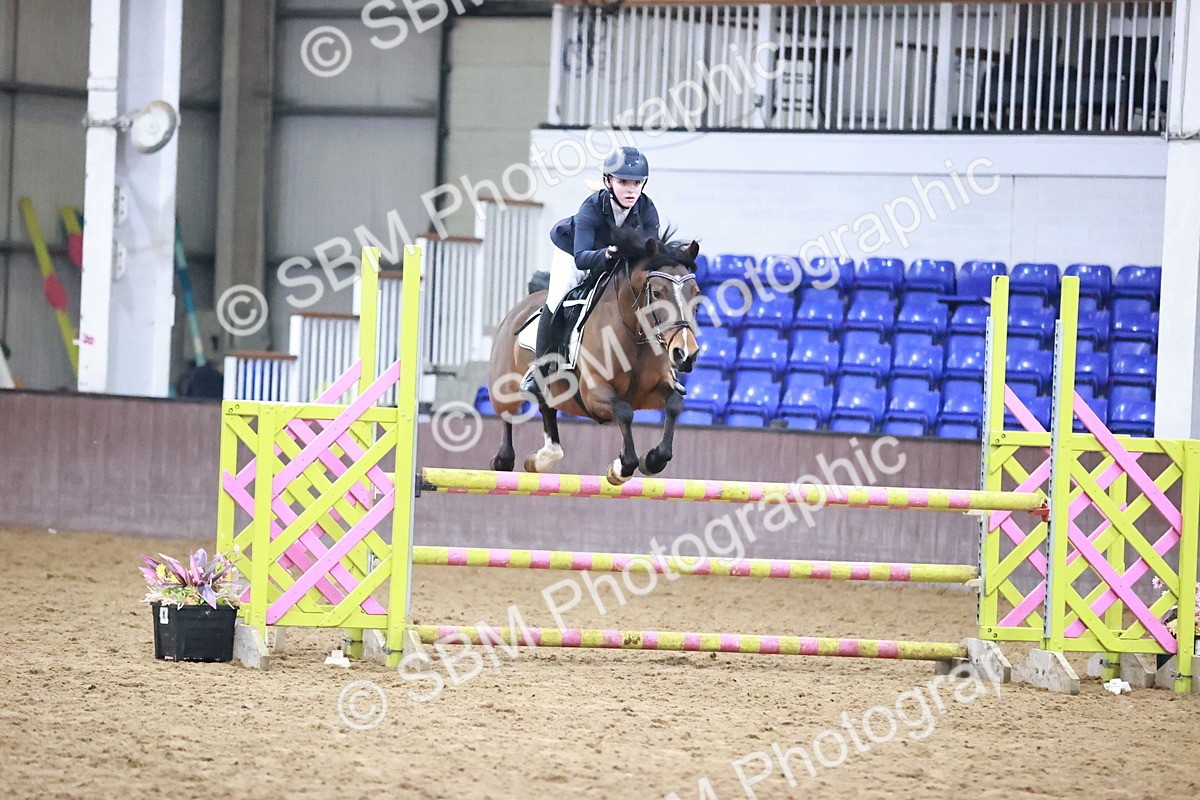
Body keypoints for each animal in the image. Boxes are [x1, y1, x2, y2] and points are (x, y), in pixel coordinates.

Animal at [487, 230, 702, 485]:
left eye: (696, 293)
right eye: (657, 292)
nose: (685, 353)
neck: (634, 334)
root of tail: (519, 308)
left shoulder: (650, 393)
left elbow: (674, 405)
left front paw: (652, 460)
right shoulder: (593, 393)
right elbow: (623, 412)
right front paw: (620, 468)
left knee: (548, 412)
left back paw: (540, 459)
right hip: (504, 388)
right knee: (507, 418)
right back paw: (503, 460)